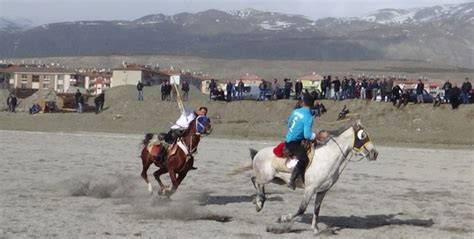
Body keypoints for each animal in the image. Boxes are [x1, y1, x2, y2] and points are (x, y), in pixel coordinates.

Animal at [248, 121, 378, 235]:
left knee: (255, 180)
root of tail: (258, 153)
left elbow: (316, 210)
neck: (328, 157)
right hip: (267, 177)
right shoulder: (310, 189)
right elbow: (302, 209)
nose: (375, 153)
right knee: (256, 181)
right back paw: (260, 202)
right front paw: (283, 219)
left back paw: (259, 201)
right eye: (362, 136)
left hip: (276, 180)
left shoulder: (322, 191)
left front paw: (315, 230)